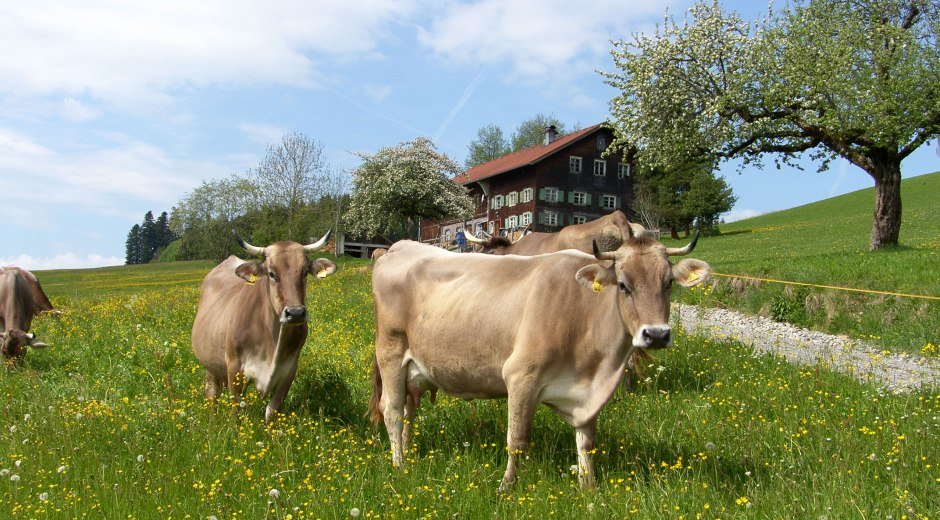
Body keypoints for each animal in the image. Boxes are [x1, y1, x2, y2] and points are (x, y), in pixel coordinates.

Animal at [191, 230, 338, 424]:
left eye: (305, 272)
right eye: (272, 274)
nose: (295, 313)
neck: (273, 341)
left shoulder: (289, 370)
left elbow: (271, 411)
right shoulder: (234, 367)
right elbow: (236, 410)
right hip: (210, 362)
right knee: (211, 392)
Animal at [370, 224, 708, 492]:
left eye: (669, 283)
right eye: (623, 285)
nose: (656, 335)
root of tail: (400, 247)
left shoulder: (588, 393)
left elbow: (587, 442)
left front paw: (589, 488)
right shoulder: (521, 376)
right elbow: (517, 440)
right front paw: (506, 488)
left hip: (415, 369)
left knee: (409, 411)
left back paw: (410, 452)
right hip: (391, 351)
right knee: (392, 410)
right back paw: (400, 464)